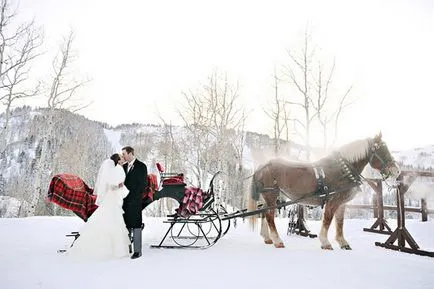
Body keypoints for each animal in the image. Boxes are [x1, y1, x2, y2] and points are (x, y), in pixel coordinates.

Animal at [248, 133, 400, 248]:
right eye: (382, 150)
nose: (397, 171)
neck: (343, 171)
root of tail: (262, 166)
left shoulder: (341, 203)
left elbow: (340, 222)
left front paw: (342, 242)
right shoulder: (333, 201)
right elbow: (327, 219)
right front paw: (325, 242)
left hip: (268, 196)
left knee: (264, 213)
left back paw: (267, 238)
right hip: (271, 195)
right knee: (269, 216)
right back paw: (277, 241)